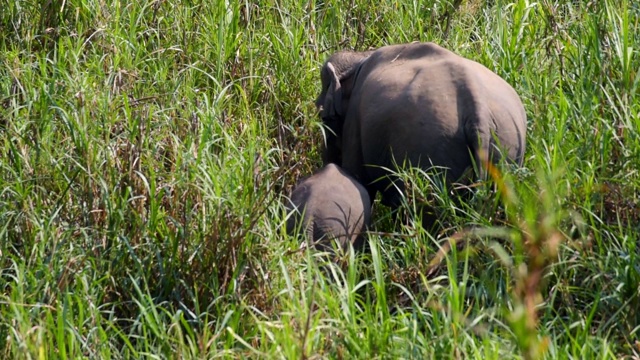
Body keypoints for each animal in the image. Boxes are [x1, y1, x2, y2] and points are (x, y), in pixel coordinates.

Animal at [318, 43, 528, 225]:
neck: (361, 57)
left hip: (430, 148)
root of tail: (478, 109)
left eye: (323, 117)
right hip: (506, 149)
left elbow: (360, 182)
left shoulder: (355, 120)